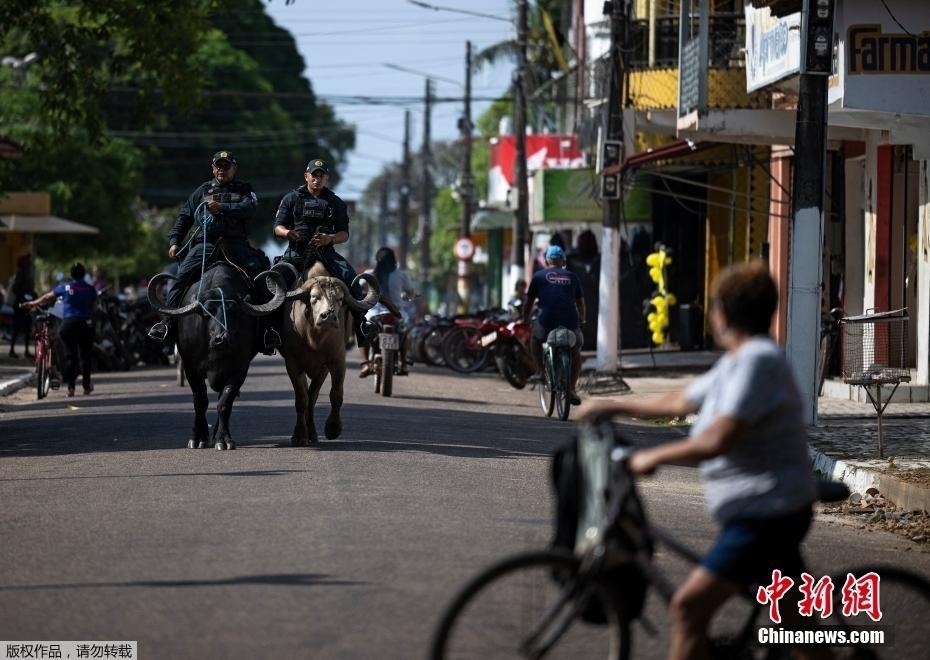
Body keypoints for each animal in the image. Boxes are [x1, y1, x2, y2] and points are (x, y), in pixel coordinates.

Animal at [147, 262, 284, 448]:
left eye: (234, 311)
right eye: (206, 313)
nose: (223, 339)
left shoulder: (239, 369)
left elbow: (224, 403)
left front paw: (223, 440)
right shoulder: (191, 368)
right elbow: (200, 402)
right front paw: (197, 438)